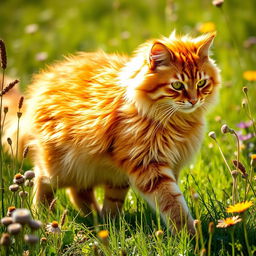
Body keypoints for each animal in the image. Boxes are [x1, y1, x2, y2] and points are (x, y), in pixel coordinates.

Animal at [3, 31, 220, 234]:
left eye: (201, 84)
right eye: (177, 86)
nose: (193, 100)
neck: (176, 122)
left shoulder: (168, 164)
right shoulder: (150, 166)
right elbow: (173, 204)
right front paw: (189, 235)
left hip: (107, 174)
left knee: (82, 193)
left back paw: (102, 221)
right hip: (59, 166)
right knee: (42, 179)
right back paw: (42, 214)